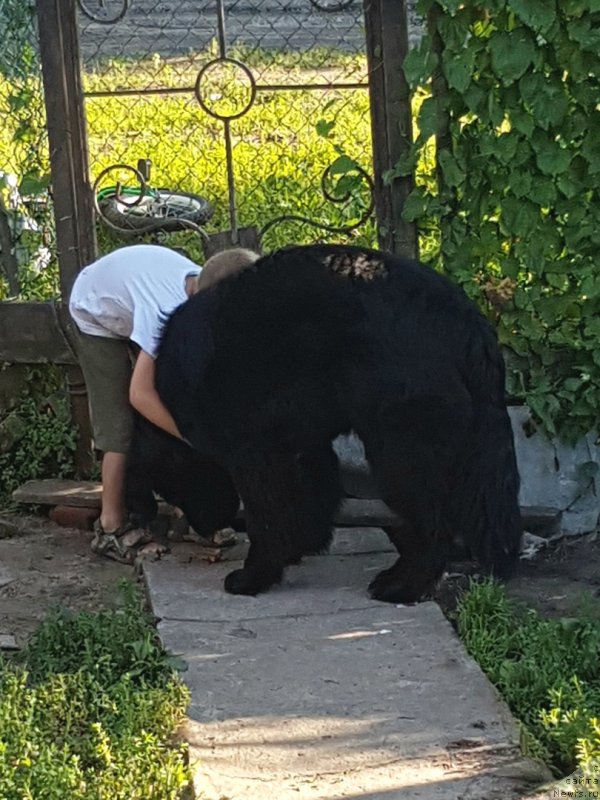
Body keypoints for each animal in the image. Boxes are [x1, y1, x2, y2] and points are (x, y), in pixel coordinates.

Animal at [125, 244, 520, 600]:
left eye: (172, 485)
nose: (209, 525)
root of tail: (468, 323)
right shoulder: (299, 442)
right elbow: (314, 490)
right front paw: (301, 547)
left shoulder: (254, 451)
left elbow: (268, 514)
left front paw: (254, 576)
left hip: (401, 447)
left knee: (433, 525)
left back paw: (401, 585)